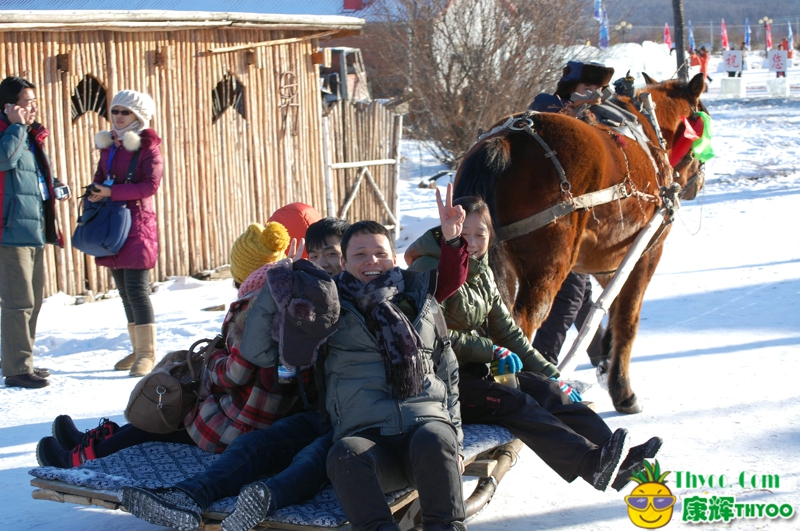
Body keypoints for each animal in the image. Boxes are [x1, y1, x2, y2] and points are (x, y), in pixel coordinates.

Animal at [456, 74, 708, 416]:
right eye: (700, 115)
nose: (698, 182)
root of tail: (507, 140)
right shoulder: (646, 253)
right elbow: (627, 320)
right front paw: (623, 391)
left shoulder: (607, 263)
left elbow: (604, 309)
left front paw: (605, 362)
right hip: (550, 263)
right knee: (521, 324)